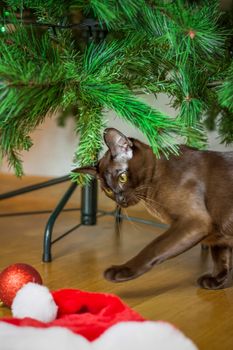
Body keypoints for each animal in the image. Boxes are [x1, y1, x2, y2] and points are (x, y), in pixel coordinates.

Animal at [73, 127, 233, 288]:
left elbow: (154, 247)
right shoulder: (216, 233)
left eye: (122, 178)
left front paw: (120, 271)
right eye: (108, 190)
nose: (120, 200)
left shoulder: (195, 221)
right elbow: (220, 256)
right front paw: (215, 281)